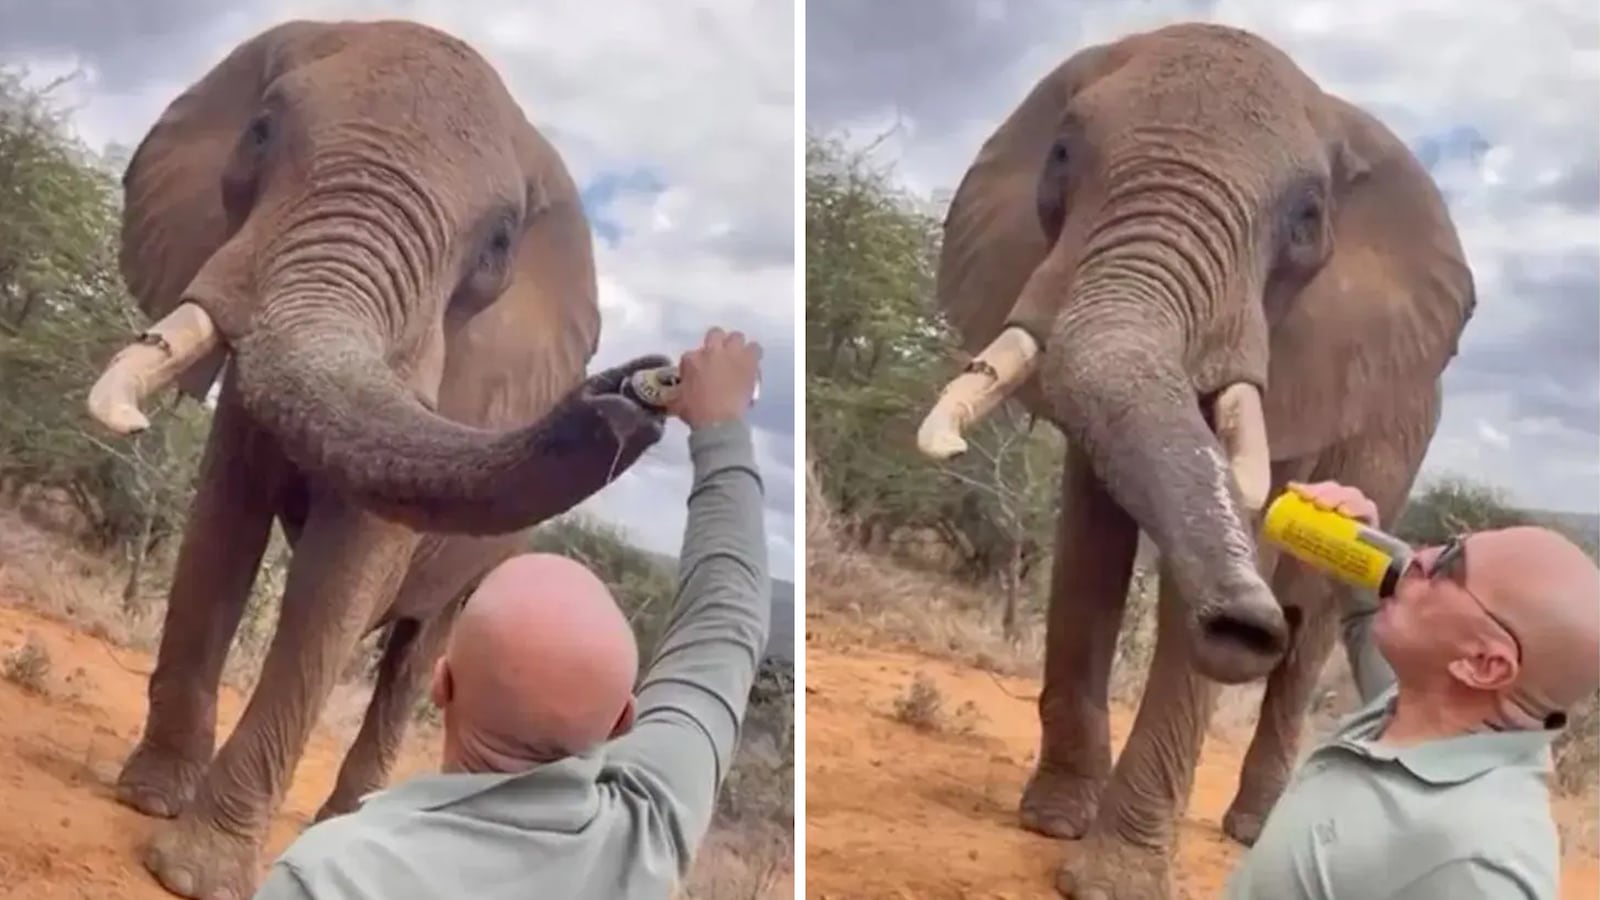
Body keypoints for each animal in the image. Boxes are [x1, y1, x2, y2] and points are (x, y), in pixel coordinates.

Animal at [81, 19, 669, 900]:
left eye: (498, 244)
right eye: (260, 133)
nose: (646, 385)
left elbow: (344, 571)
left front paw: (194, 873)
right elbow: (222, 524)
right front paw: (150, 801)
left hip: (486, 566)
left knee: (418, 653)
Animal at [913, 22, 1475, 899]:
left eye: (1307, 217)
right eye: (1062, 155)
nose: (1244, 625)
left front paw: (1112, 881)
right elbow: (1090, 544)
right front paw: (1052, 822)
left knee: (1312, 628)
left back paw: (1251, 827)